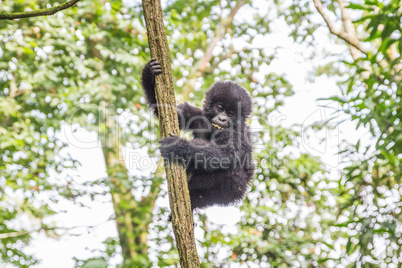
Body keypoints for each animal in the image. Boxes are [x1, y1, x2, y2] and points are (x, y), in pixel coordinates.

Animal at [143, 58, 253, 209]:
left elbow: (223, 155)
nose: (222, 119)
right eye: (220, 108)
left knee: (229, 170)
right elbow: (169, 111)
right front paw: (149, 72)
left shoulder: (239, 135)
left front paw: (178, 146)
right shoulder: (197, 115)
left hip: (232, 192)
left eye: (231, 113)